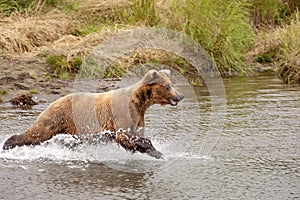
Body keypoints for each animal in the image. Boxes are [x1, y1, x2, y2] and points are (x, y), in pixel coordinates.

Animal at [3, 69, 184, 159]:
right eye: (167, 86)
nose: (180, 96)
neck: (140, 102)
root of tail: (53, 101)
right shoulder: (122, 114)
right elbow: (125, 136)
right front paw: (156, 151)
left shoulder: (138, 116)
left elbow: (135, 135)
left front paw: (155, 151)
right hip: (57, 117)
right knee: (37, 133)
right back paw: (8, 143)